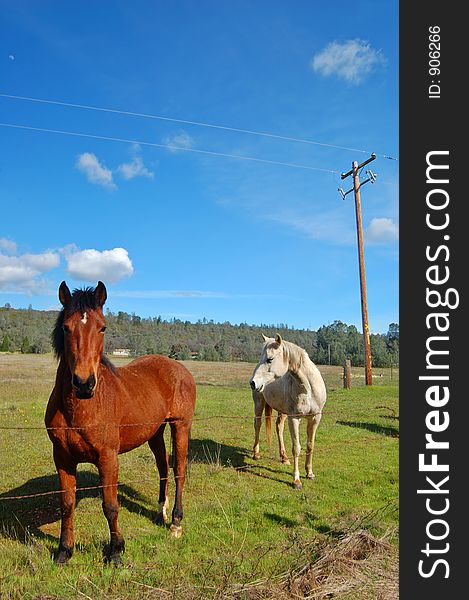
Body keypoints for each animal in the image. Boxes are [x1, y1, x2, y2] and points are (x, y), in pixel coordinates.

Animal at [44, 280, 195, 564]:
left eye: (102, 327)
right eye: (66, 327)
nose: (83, 384)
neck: (80, 409)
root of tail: (180, 368)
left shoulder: (108, 458)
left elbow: (110, 506)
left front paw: (115, 551)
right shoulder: (63, 457)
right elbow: (66, 505)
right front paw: (64, 551)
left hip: (180, 426)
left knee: (178, 470)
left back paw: (176, 523)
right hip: (154, 432)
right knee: (162, 467)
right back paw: (161, 513)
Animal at [249, 336, 326, 490]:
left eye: (270, 359)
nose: (253, 383)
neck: (308, 388)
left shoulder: (315, 418)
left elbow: (310, 445)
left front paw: (309, 473)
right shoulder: (294, 418)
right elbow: (296, 448)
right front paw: (296, 481)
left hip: (282, 412)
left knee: (279, 427)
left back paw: (284, 457)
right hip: (259, 404)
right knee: (257, 425)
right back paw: (256, 453)